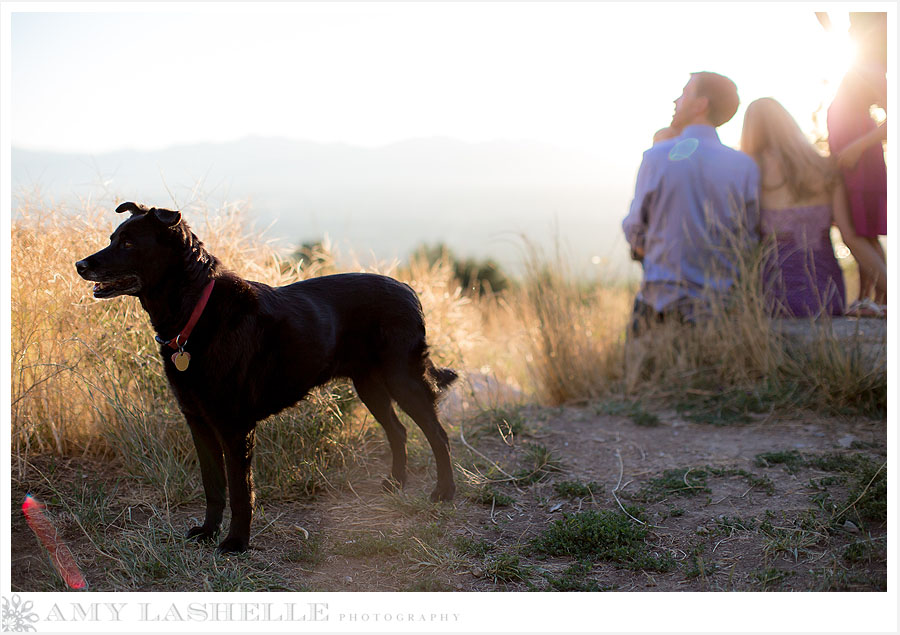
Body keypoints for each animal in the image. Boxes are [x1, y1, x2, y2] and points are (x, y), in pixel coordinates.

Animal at [76, 202, 458, 552]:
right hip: (370, 385)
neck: (194, 312)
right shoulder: (198, 422)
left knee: (438, 434)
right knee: (399, 431)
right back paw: (396, 483)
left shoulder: (234, 426)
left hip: (403, 379)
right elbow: (213, 485)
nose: (80, 265)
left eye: (128, 243)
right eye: (112, 239)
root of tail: (408, 289)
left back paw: (444, 492)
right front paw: (208, 532)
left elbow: (240, 490)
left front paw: (236, 542)